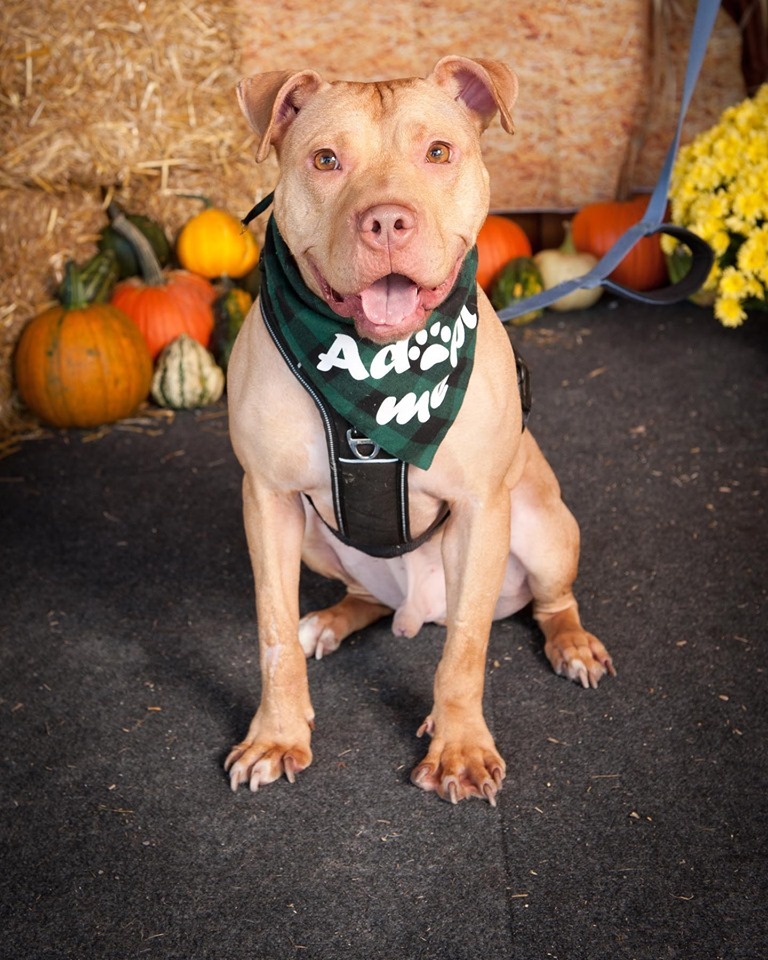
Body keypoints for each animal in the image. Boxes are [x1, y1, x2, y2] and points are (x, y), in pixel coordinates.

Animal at [225, 56, 616, 808]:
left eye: (438, 152)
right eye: (326, 159)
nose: (386, 221)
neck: (374, 374)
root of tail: (416, 607)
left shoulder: (481, 508)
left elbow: (464, 647)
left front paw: (459, 747)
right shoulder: (267, 500)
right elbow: (271, 633)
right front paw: (277, 735)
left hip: (542, 525)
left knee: (547, 602)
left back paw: (571, 644)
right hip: (317, 539)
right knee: (361, 600)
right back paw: (331, 622)